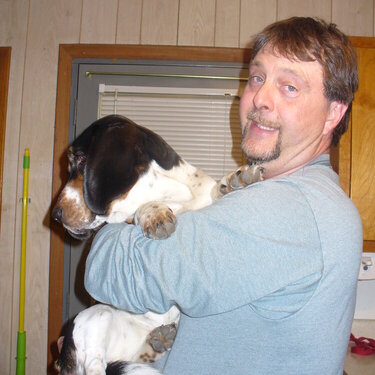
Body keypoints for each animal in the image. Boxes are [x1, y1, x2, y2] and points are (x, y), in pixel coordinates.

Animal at [53, 115, 264, 375]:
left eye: (81, 159)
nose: (55, 215)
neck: (175, 195)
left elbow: (216, 190)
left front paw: (237, 180)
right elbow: (138, 211)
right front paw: (153, 213)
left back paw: (160, 338)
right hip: (95, 316)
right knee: (94, 364)